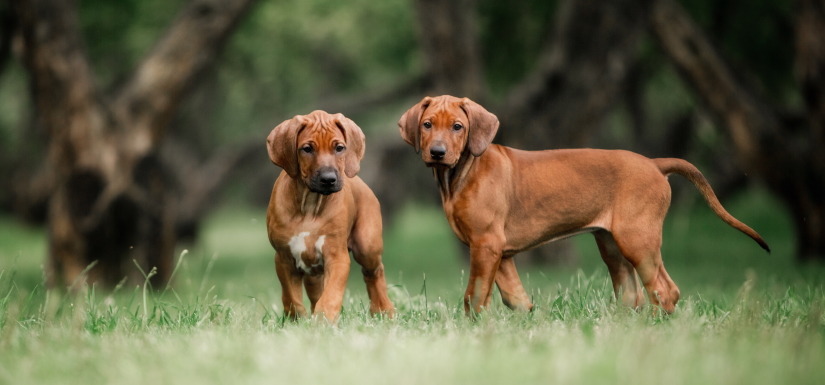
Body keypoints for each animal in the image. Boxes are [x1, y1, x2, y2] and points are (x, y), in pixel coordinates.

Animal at [266, 109, 392, 320]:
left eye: (339, 148)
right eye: (307, 149)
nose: (328, 179)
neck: (310, 205)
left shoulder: (337, 257)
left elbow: (331, 294)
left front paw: (323, 320)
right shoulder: (284, 258)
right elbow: (291, 298)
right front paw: (298, 320)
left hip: (367, 245)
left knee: (374, 272)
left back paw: (383, 309)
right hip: (313, 270)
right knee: (314, 289)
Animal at [396, 95, 768, 316]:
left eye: (458, 127)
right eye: (427, 125)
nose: (438, 152)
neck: (460, 173)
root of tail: (653, 163)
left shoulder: (486, 245)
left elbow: (474, 296)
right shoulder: (498, 252)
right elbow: (515, 298)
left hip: (637, 239)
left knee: (665, 289)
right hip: (612, 245)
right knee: (631, 293)